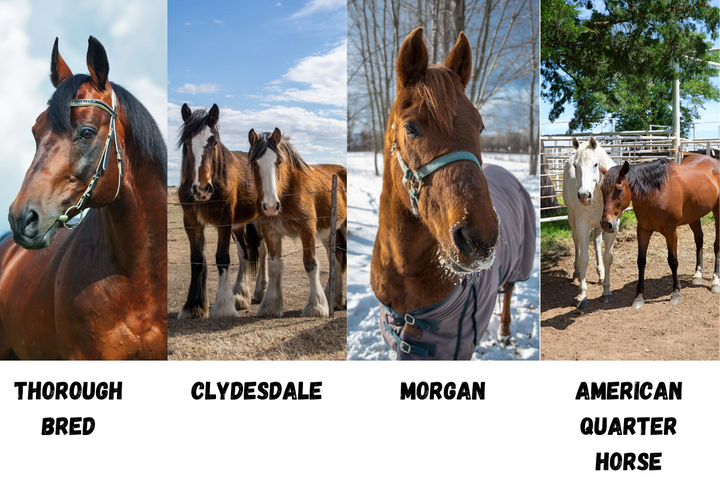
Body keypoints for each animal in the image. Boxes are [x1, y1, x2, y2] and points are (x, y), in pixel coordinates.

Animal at [177, 103, 267, 319]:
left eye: (214, 142)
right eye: (187, 143)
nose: (202, 189)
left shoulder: (224, 221)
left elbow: (222, 257)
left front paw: (224, 307)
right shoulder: (191, 221)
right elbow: (196, 259)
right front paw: (194, 306)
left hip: (260, 221)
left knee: (262, 251)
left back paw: (260, 291)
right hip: (239, 226)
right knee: (244, 253)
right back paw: (240, 294)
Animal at [247, 128, 347, 318]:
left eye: (279, 161)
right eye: (254, 163)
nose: (270, 206)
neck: (287, 191)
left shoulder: (307, 230)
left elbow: (310, 264)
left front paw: (315, 306)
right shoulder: (271, 232)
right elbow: (274, 265)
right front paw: (271, 305)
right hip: (328, 232)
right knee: (336, 260)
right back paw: (335, 299)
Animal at [369, 28, 536, 360]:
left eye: (480, 126)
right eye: (410, 127)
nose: (479, 239)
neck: (403, 270)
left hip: (517, 265)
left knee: (509, 291)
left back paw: (504, 332)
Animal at [563, 137, 618, 308]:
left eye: (595, 164)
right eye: (575, 165)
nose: (584, 196)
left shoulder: (612, 226)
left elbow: (608, 257)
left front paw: (607, 292)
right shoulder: (582, 225)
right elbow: (584, 258)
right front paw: (582, 296)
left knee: (597, 243)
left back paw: (600, 274)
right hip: (572, 219)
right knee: (576, 242)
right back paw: (576, 272)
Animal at [600, 155, 720, 309]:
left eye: (619, 189)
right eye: (602, 189)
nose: (606, 224)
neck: (656, 192)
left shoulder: (671, 231)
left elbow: (673, 261)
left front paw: (676, 293)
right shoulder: (643, 230)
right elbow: (641, 261)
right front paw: (639, 296)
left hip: (717, 211)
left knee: (716, 245)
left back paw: (715, 281)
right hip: (695, 215)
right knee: (699, 239)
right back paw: (698, 274)